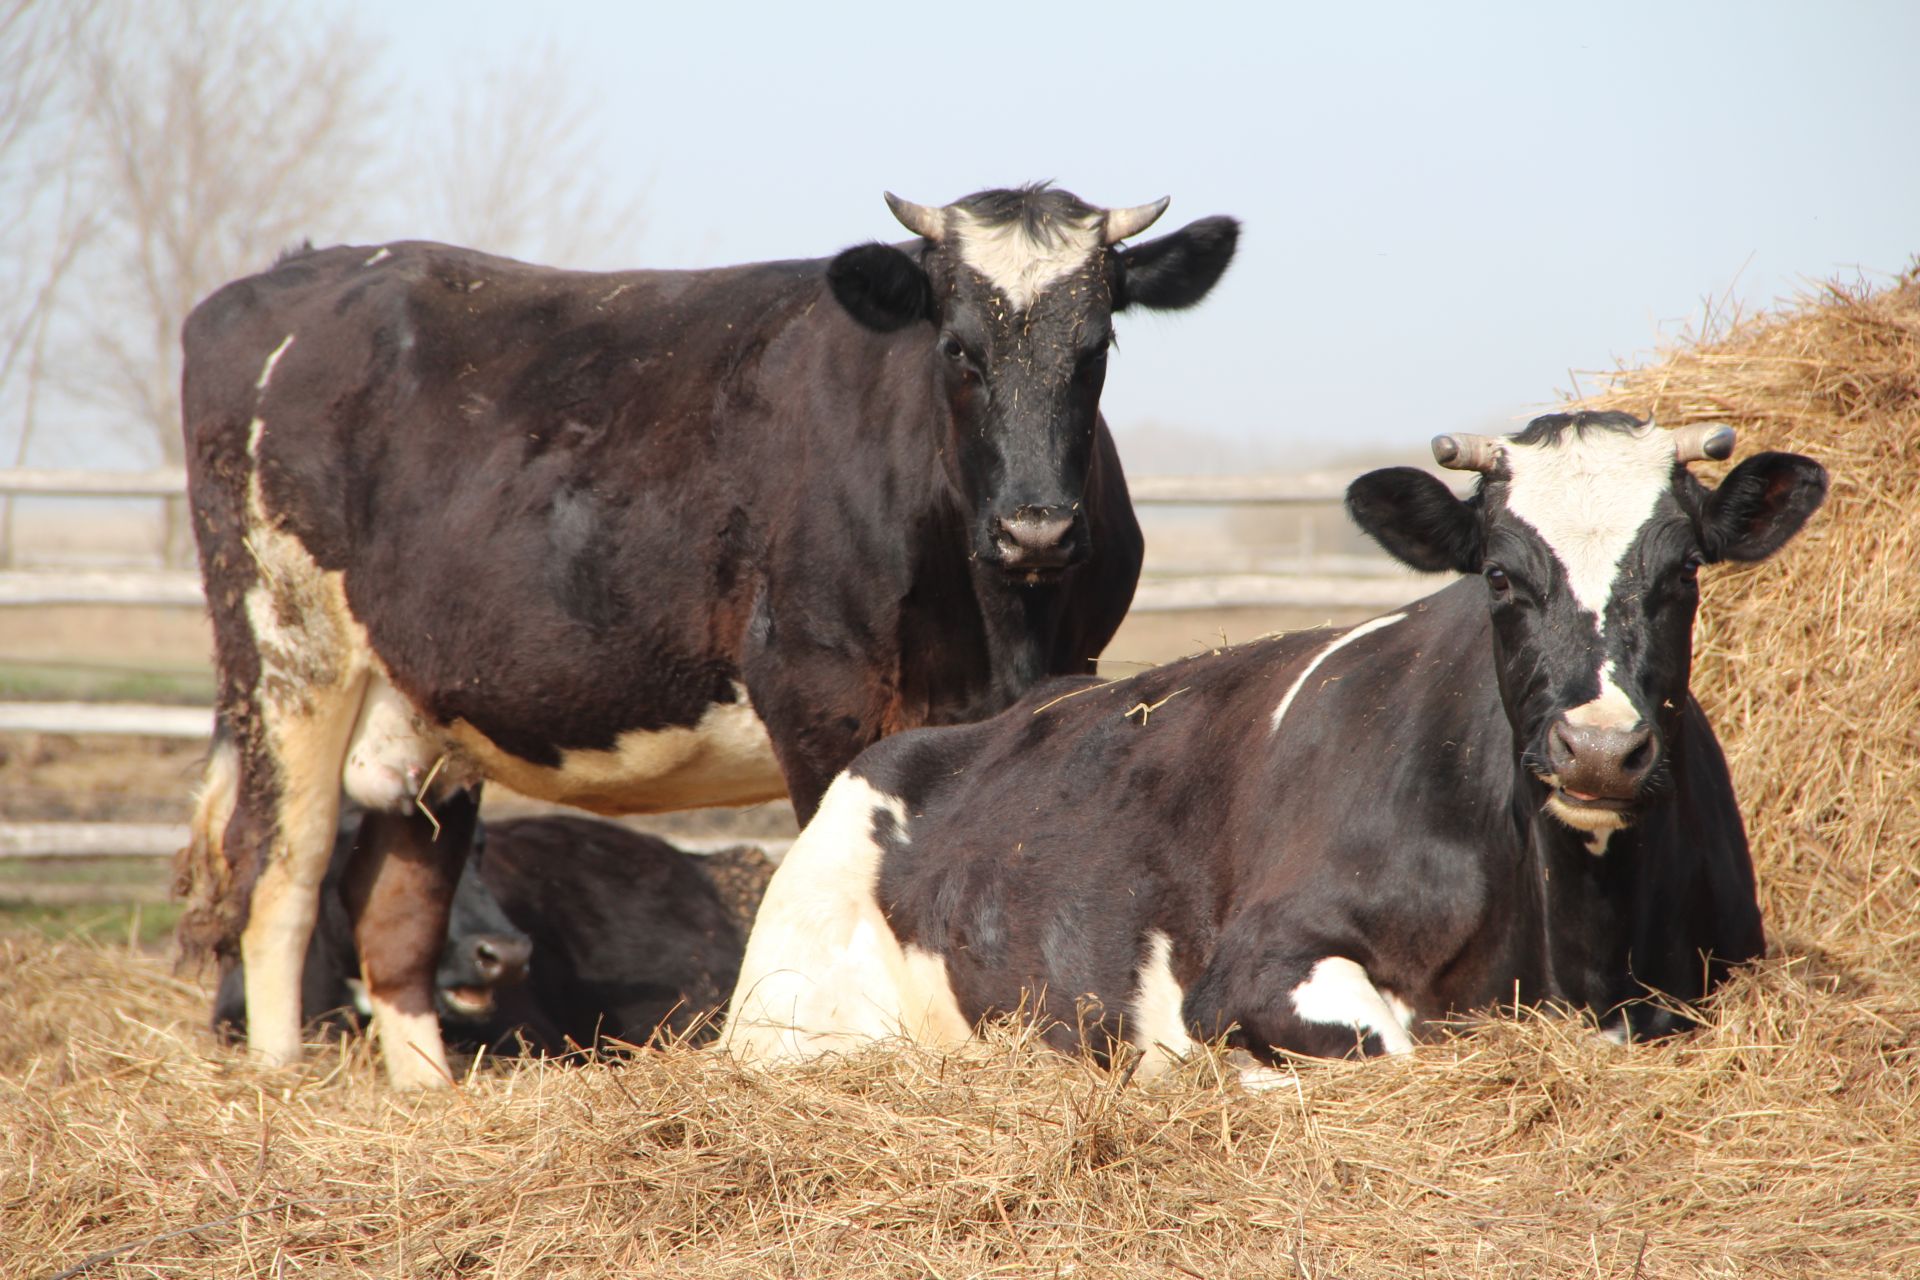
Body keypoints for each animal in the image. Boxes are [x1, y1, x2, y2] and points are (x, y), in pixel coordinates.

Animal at [729, 412, 1827, 1074]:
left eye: (1683, 572)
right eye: (1501, 576)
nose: (1598, 749)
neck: (1579, 944)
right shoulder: (1253, 963)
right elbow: (1391, 1049)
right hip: (788, 1016)